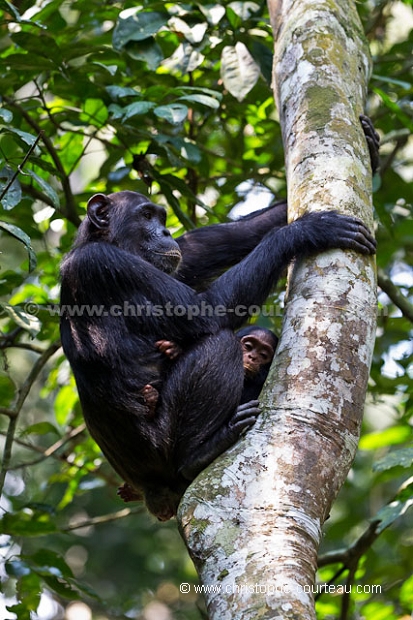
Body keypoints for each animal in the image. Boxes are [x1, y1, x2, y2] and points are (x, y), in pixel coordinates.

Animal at [59, 115, 378, 520]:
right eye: (145, 216)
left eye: (161, 217)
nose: (165, 231)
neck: (103, 240)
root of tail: (151, 492)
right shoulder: (107, 264)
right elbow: (206, 310)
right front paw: (306, 230)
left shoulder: (178, 258)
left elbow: (221, 240)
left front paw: (371, 147)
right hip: (163, 450)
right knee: (219, 342)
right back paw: (200, 454)